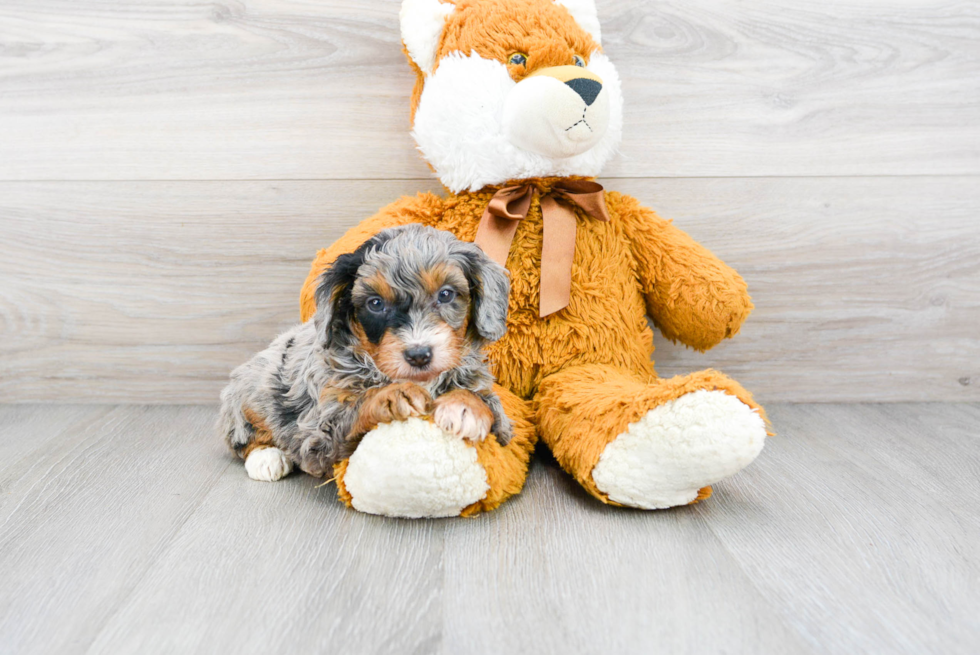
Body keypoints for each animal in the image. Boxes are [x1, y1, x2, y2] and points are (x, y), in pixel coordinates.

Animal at [216, 226, 512, 482]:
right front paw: (392, 395)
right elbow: (354, 410)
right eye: (376, 303)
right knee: (244, 435)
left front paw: (463, 406)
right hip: (251, 394)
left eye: (446, 294)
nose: (418, 355)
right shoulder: (319, 431)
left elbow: (487, 403)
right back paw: (266, 458)